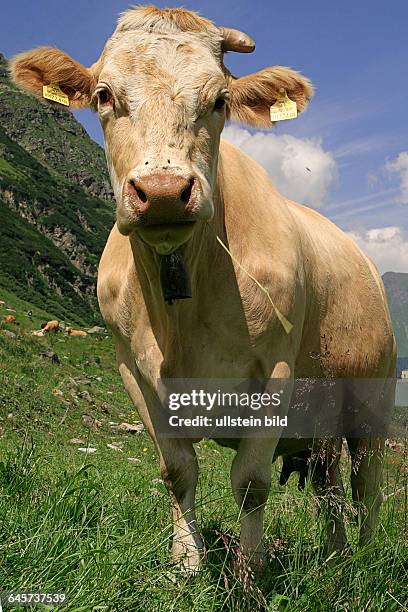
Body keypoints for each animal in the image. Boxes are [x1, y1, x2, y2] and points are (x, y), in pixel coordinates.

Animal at [11, 4, 396, 572]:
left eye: (219, 100)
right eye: (104, 95)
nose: (163, 192)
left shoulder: (276, 372)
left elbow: (252, 483)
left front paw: (249, 570)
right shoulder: (135, 373)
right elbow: (178, 472)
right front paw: (186, 563)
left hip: (372, 398)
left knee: (365, 485)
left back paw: (365, 557)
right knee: (329, 486)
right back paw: (335, 557)